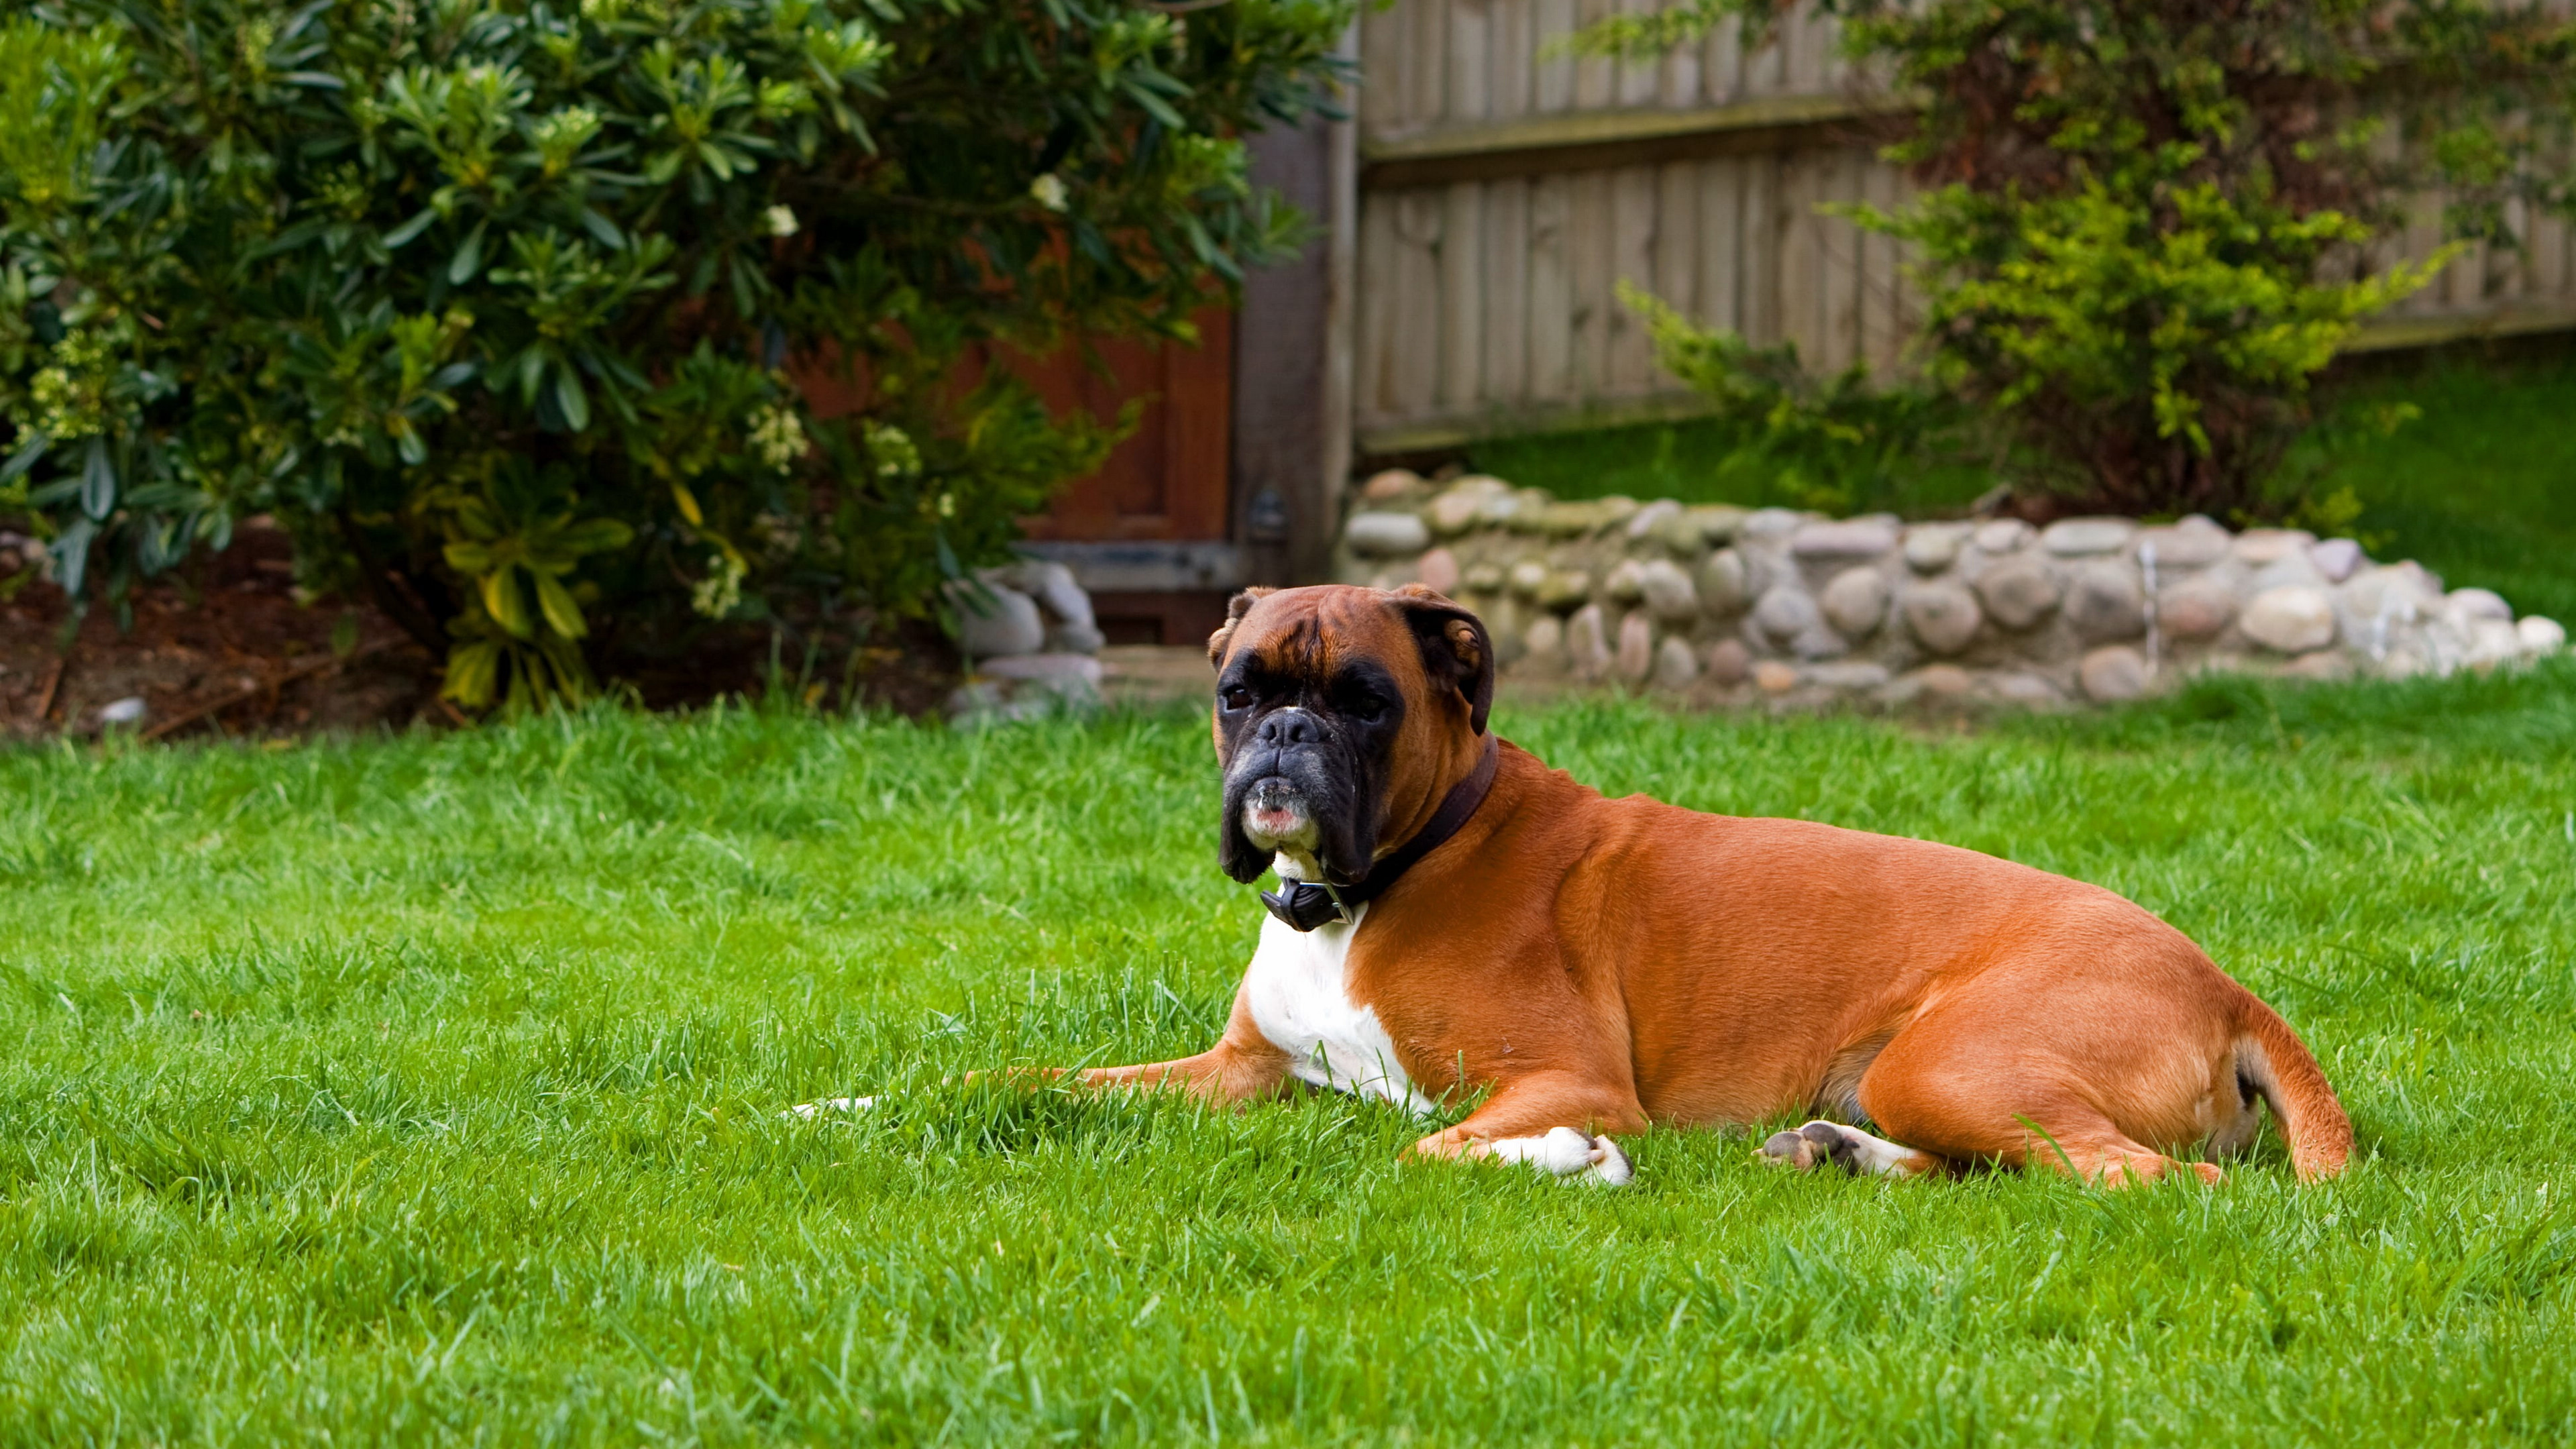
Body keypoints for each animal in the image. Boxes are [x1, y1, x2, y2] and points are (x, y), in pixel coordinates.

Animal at [875, 577, 2349, 1185]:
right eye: (1242, 691)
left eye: (1363, 701)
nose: (1285, 737)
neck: (1372, 886)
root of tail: (2226, 983)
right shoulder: (1238, 1073)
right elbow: (1028, 1080)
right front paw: (870, 1100)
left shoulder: (1560, 1076)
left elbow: (1424, 1146)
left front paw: (1566, 1163)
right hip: (1915, 1077)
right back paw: (1837, 1153)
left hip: (1961, 1061)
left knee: (2150, 1184)